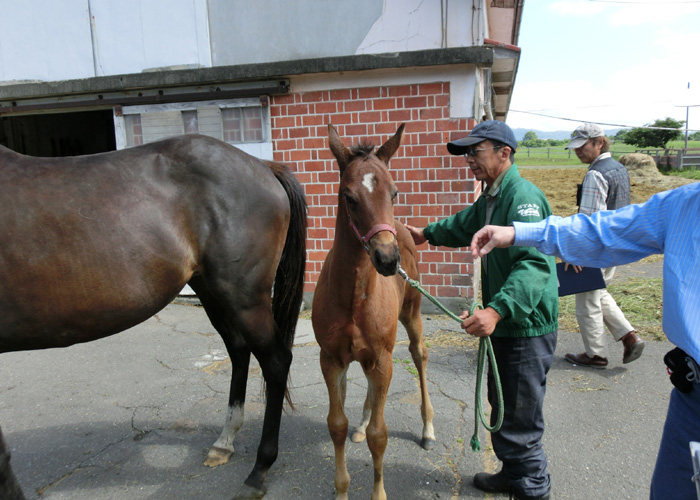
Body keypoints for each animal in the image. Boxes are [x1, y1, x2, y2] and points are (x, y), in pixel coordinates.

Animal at [0, 134, 308, 500]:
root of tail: (262, 165)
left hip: (244, 297)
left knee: (275, 362)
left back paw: (259, 470)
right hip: (211, 290)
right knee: (238, 350)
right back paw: (225, 441)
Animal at [310, 122, 432, 500]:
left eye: (394, 193)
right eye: (349, 197)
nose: (387, 259)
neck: (353, 297)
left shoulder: (383, 358)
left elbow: (381, 436)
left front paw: (378, 493)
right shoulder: (331, 359)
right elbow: (336, 425)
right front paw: (341, 490)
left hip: (411, 316)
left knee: (419, 355)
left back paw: (428, 429)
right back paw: (362, 422)